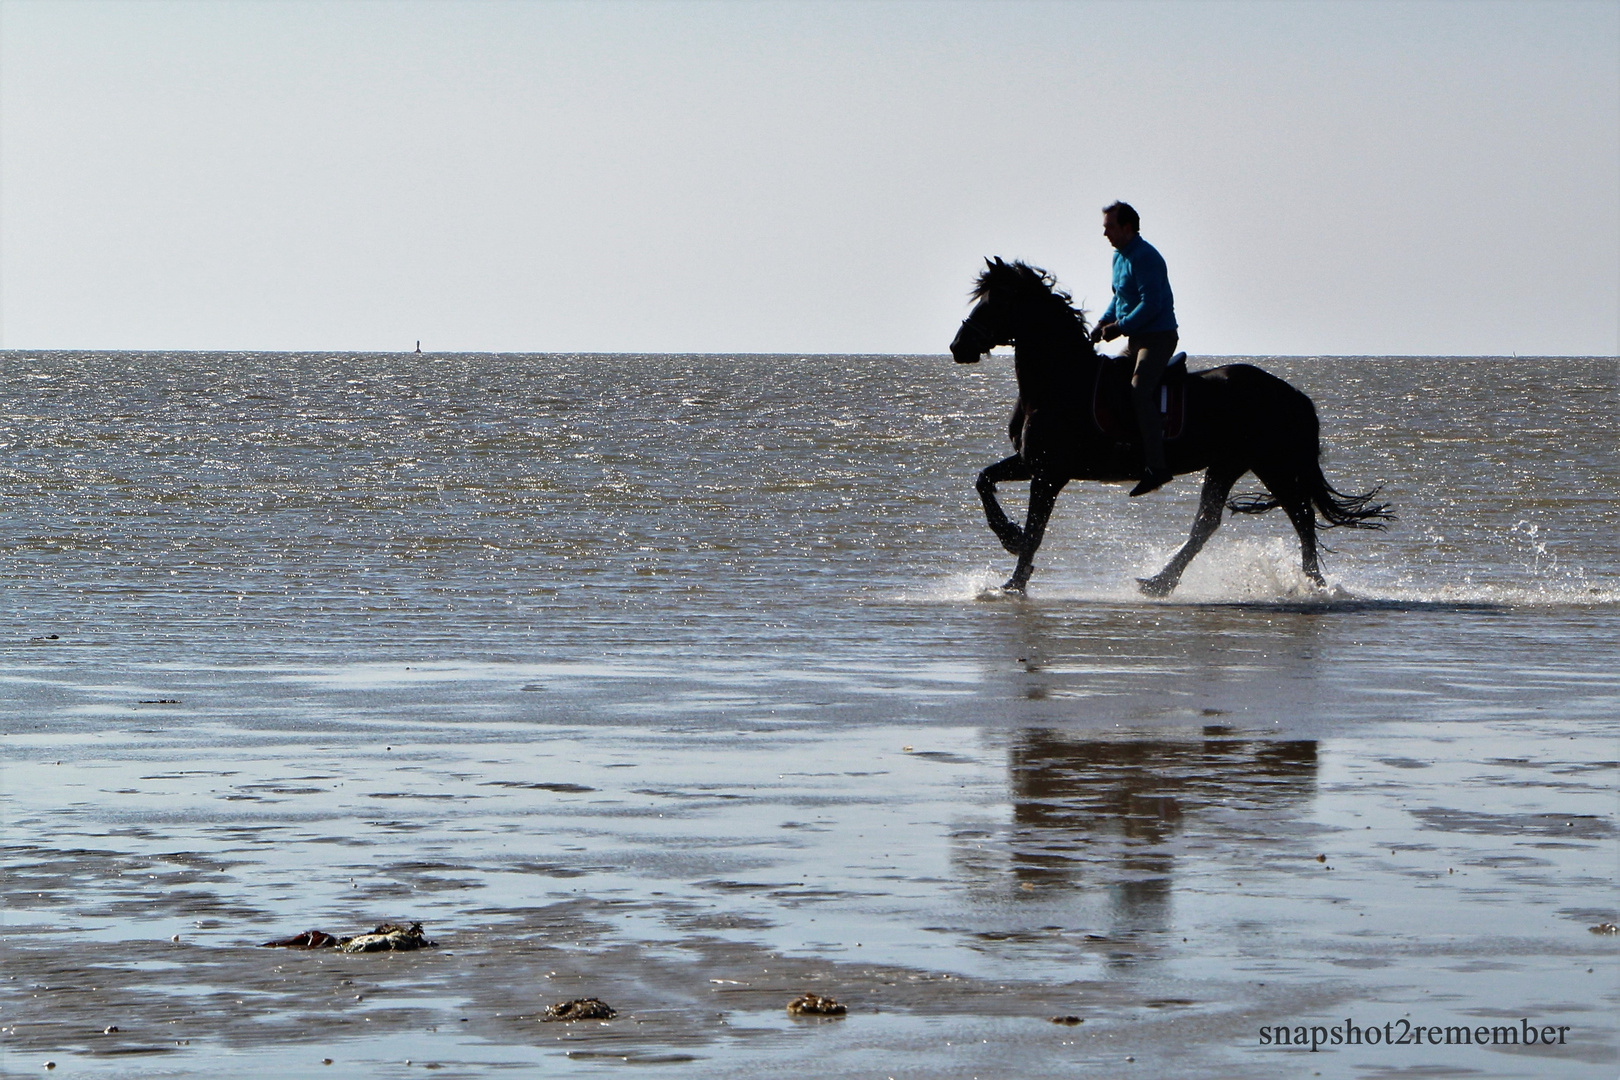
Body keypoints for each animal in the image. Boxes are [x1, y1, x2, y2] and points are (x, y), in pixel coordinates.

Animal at [946, 262, 1393, 599]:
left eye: (995, 302)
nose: (957, 347)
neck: (1060, 381)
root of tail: (1293, 393)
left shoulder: (1049, 472)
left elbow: (1036, 529)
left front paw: (1013, 581)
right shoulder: (1030, 463)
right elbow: (984, 480)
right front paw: (1009, 537)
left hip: (1270, 464)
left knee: (1299, 516)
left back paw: (1312, 585)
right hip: (1230, 464)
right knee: (1213, 524)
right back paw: (1161, 582)